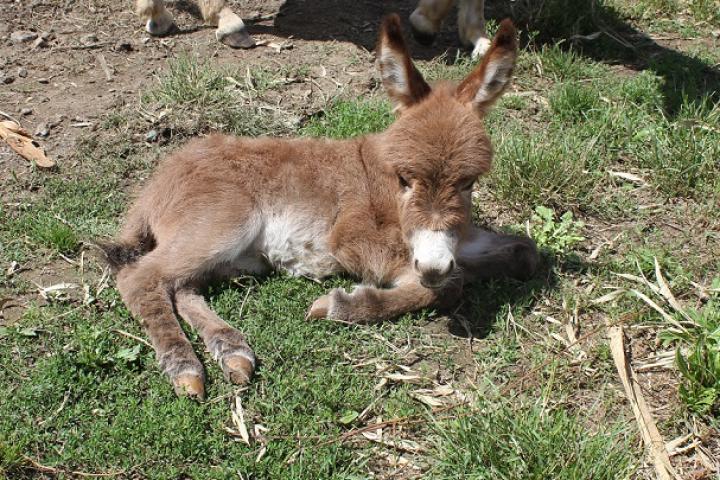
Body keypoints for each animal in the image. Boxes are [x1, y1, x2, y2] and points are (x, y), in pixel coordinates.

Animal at [101, 15, 540, 400]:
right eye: (403, 179)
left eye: (468, 183)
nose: (432, 266)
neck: (377, 177)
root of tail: (156, 182)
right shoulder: (354, 239)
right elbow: (450, 286)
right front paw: (342, 305)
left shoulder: (460, 242)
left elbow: (524, 252)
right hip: (223, 223)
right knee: (142, 277)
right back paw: (185, 369)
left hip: (223, 253)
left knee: (181, 287)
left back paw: (232, 351)